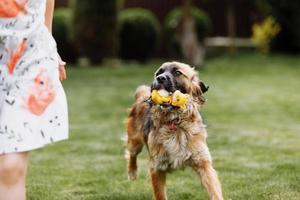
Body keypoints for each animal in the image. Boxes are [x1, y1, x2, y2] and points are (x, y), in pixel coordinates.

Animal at [125, 61, 223, 199]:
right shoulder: (157, 167)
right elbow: (160, 195)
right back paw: (132, 172)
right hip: (135, 142)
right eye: (159, 72)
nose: (160, 78)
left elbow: (215, 192)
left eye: (177, 72)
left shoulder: (203, 164)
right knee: (132, 154)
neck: (175, 122)